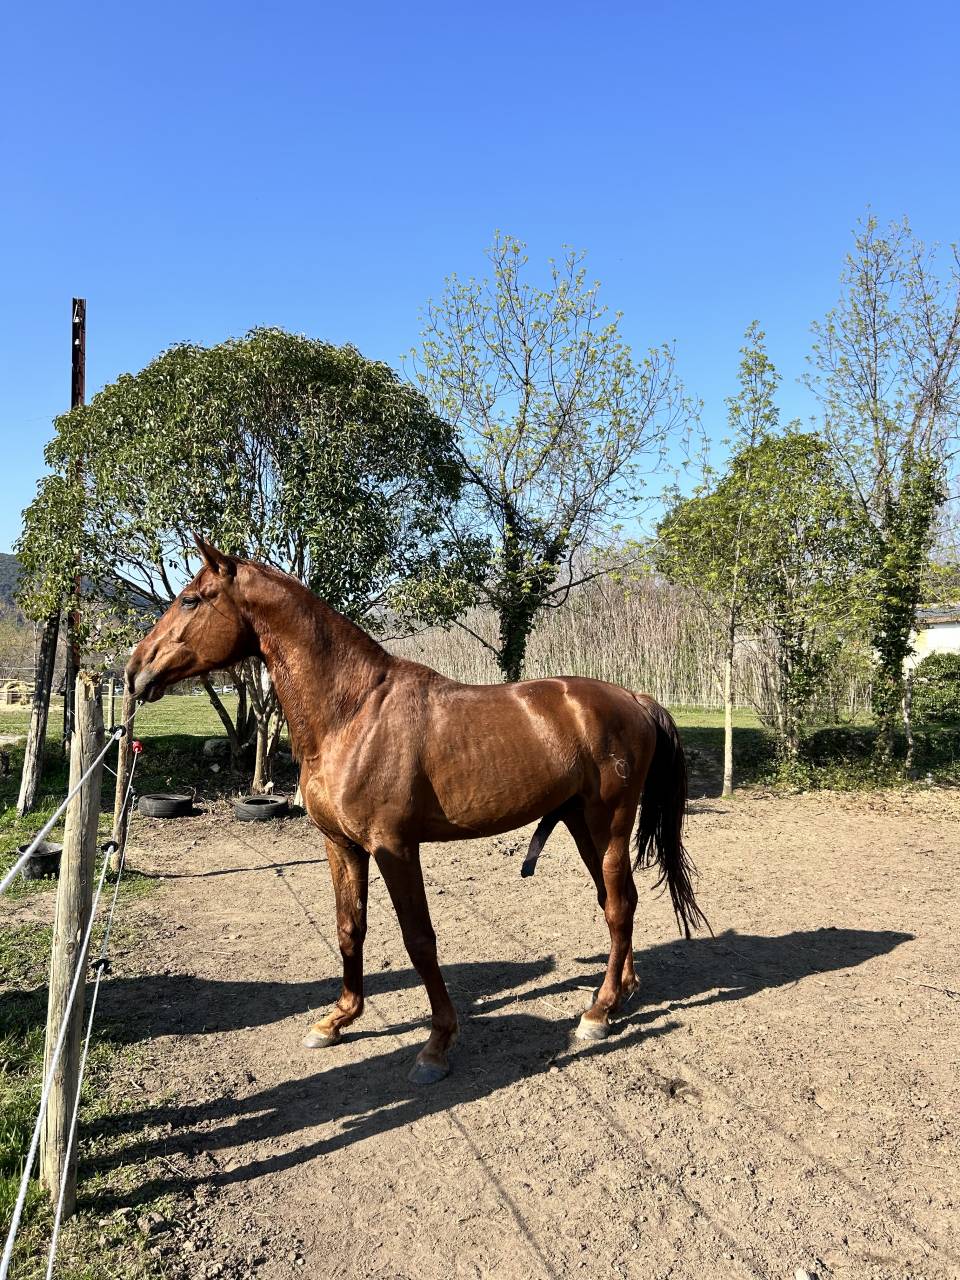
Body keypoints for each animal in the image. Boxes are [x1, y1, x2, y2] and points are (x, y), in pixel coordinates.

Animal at [127, 536, 708, 1084]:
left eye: (190, 599)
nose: (134, 670)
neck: (353, 713)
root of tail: (635, 699)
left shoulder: (395, 847)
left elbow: (419, 940)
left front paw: (437, 1044)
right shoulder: (342, 846)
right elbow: (350, 928)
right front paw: (337, 1020)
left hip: (608, 824)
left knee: (619, 906)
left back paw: (599, 1012)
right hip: (581, 824)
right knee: (617, 903)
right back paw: (621, 993)